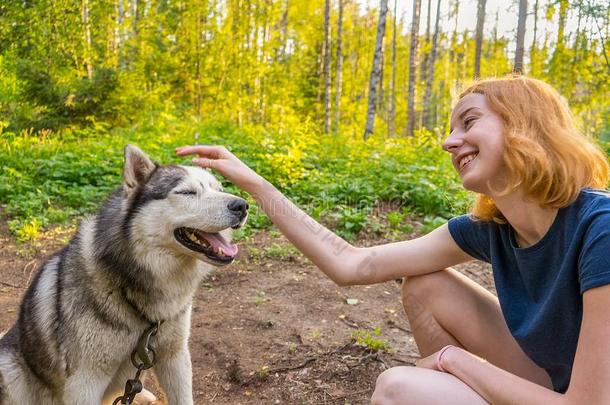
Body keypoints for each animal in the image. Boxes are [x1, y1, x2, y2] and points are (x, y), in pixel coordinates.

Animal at [0, 145, 248, 404]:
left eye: (219, 189)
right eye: (187, 192)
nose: (242, 205)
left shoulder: (175, 357)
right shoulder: (84, 381)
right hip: (10, 370)